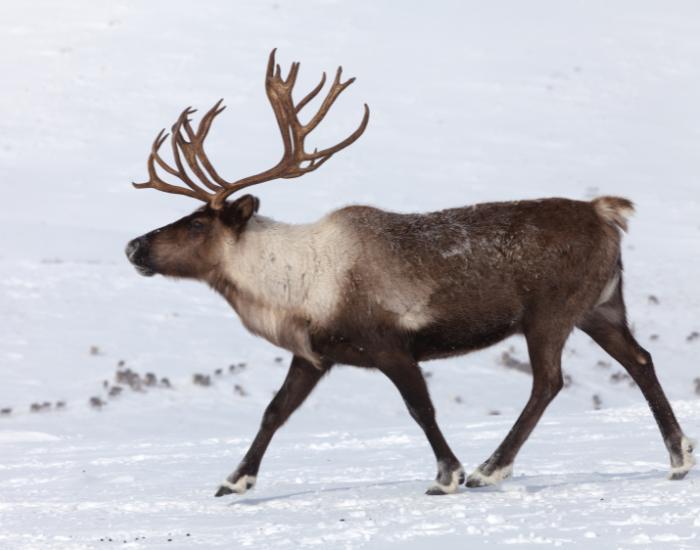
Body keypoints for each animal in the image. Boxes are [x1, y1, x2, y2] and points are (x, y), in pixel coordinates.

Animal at [126, 49, 695, 498]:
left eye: (197, 222)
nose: (133, 246)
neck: (291, 284)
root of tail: (606, 212)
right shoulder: (314, 354)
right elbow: (274, 411)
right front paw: (233, 480)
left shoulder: (391, 345)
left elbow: (422, 409)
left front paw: (448, 475)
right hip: (602, 306)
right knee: (640, 360)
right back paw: (679, 456)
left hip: (550, 313)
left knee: (549, 382)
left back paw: (490, 469)